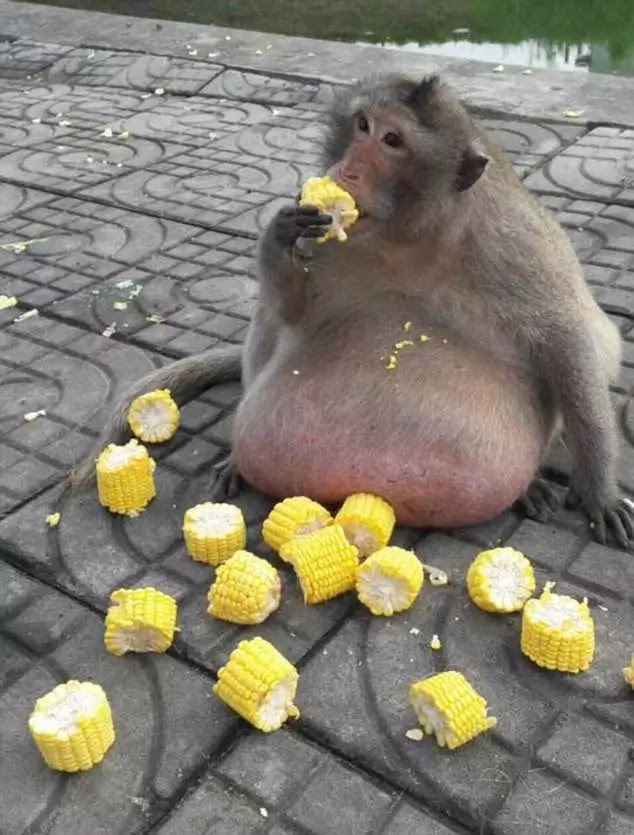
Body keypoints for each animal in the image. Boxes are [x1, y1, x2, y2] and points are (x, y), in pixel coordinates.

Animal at [74, 74, 633, 549]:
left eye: (392, 140)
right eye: (362, 125)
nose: (345, 170)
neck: (406, 237)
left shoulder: (512, 245)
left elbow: (566, 338)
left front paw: (599, 490)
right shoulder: (324, 237)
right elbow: (289, 310)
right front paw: (279, 233)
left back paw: (530, 484)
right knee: (268, 318)